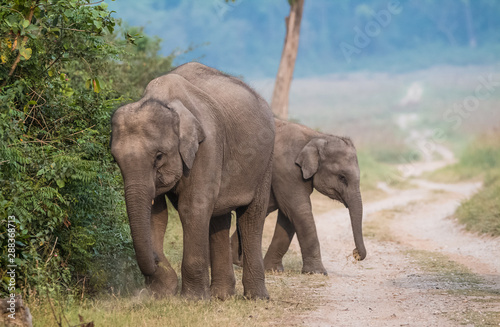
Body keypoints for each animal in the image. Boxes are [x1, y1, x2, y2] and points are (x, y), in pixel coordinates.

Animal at [111, 62, 276, 302]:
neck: (165, 100)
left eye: (159, 156)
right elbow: (157, 214)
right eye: (115, 160)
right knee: (219, 219)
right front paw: (161, 292)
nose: (156, 262)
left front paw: (193, 299)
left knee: (251, 218)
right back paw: (221, 296)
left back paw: (256, 298)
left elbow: (193, 207)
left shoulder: (208, 144)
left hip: (266, 161)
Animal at [231, 119, 368, 276]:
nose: (355, 253)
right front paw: (318, 273)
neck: (316, 136)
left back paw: (237, 261)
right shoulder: (286, 169)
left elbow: (288, 217)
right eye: (342, 177)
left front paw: (273, 270)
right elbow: (299, 210)